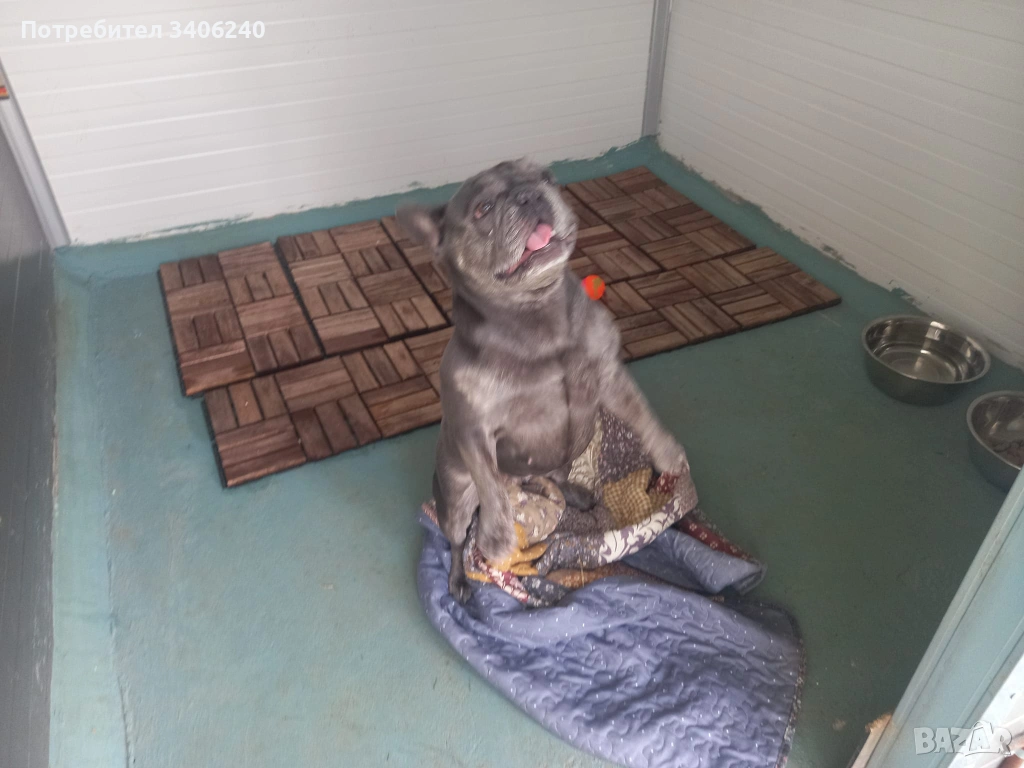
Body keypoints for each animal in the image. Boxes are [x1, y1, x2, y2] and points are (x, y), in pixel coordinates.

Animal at [397, 159, 688, 602]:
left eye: (547, 178)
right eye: (482, 208)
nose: (528, 195)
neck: (536, 315)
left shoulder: (609, 375)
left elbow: (643, 414)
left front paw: (668, 453)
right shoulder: (472, 430)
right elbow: (489, 485)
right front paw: (497, 538)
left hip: (570, 449)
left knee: (553, 479)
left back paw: (574, 494)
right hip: (457, 501)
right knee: (459, 538)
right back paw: (459, 579)